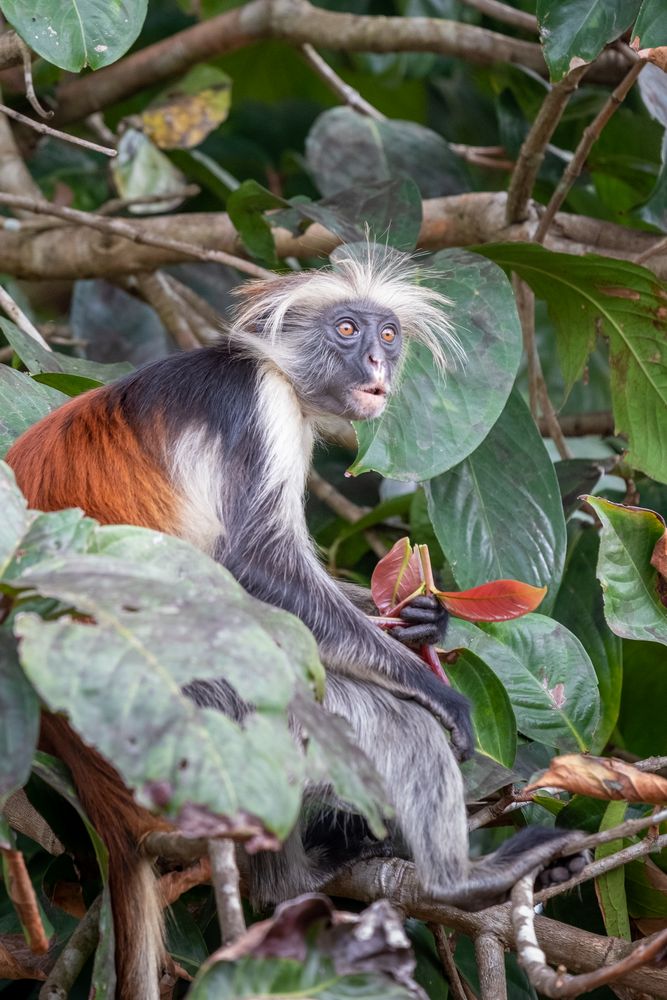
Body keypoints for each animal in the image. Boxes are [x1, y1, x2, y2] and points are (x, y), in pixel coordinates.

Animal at [5, 244, 580, 1000]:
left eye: (387, 334)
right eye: (347, 331)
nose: (377, 360)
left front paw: (422, 620)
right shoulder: (260, 407)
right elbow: (257, 569)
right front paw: (430, 685)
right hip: (202, 703)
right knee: (389, 720)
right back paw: (450, 882)